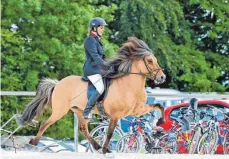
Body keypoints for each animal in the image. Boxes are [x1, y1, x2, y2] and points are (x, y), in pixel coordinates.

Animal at [16, 36, 166, 153]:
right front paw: (105, 150)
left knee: (83, 129)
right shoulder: (115, 115)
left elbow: (158, 105)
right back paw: (34, 142)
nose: (162, 77)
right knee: (45, 123)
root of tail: (58, 84)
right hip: (60, 110)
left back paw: (97, 146)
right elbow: (110, 133)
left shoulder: (137, 109)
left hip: (80, 111)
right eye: (150, 61)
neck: (129, 86)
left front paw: (160, 121)